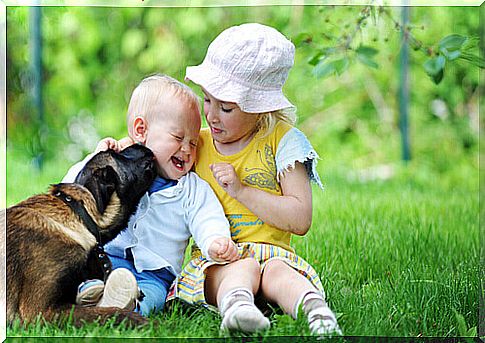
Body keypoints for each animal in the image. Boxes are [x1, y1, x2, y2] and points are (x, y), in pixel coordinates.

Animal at [6, 145, 157, 328]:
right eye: (116, 154)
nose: (141, 145)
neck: (78, 213)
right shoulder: (39, 311)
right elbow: (108, 313)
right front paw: (141, 321)